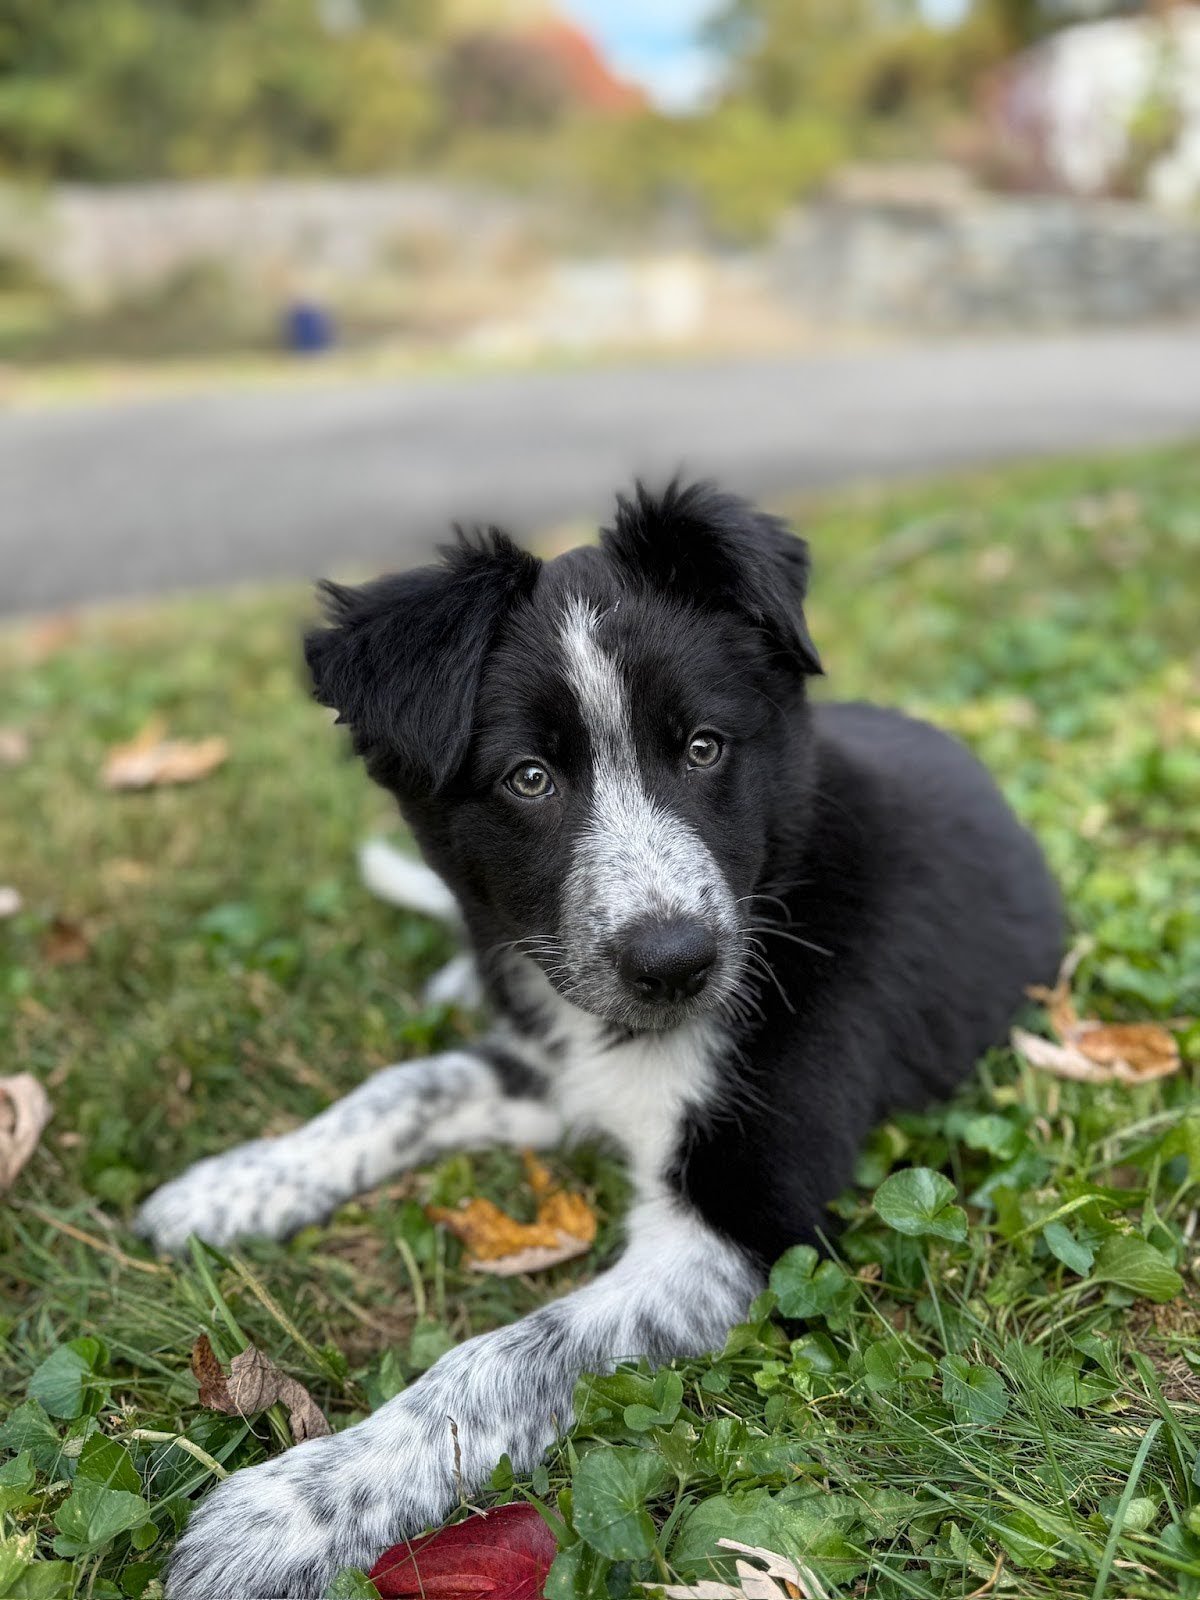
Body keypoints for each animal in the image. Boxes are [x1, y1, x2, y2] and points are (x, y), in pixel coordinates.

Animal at [137, 481, 1063, 1598]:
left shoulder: (744, 1226)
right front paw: (237, 1185)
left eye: (704, 748)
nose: (676, 962)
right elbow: (403, 1087)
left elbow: (504, 1356)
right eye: (530, 778)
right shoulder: (549, 1071)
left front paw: (291, 1511)